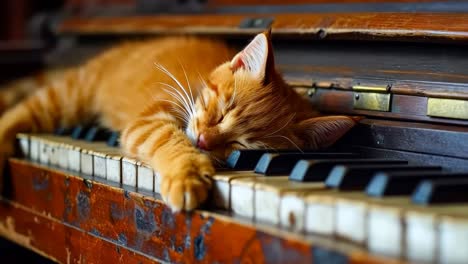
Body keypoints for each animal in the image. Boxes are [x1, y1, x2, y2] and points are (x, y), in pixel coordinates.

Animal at [0, 31, 358, 211]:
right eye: (221, 112)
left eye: (242, 146)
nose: (202, 141)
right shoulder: (149, 121)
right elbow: (168, 138)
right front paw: (187, 174)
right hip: (70, 94)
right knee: (24, 110)